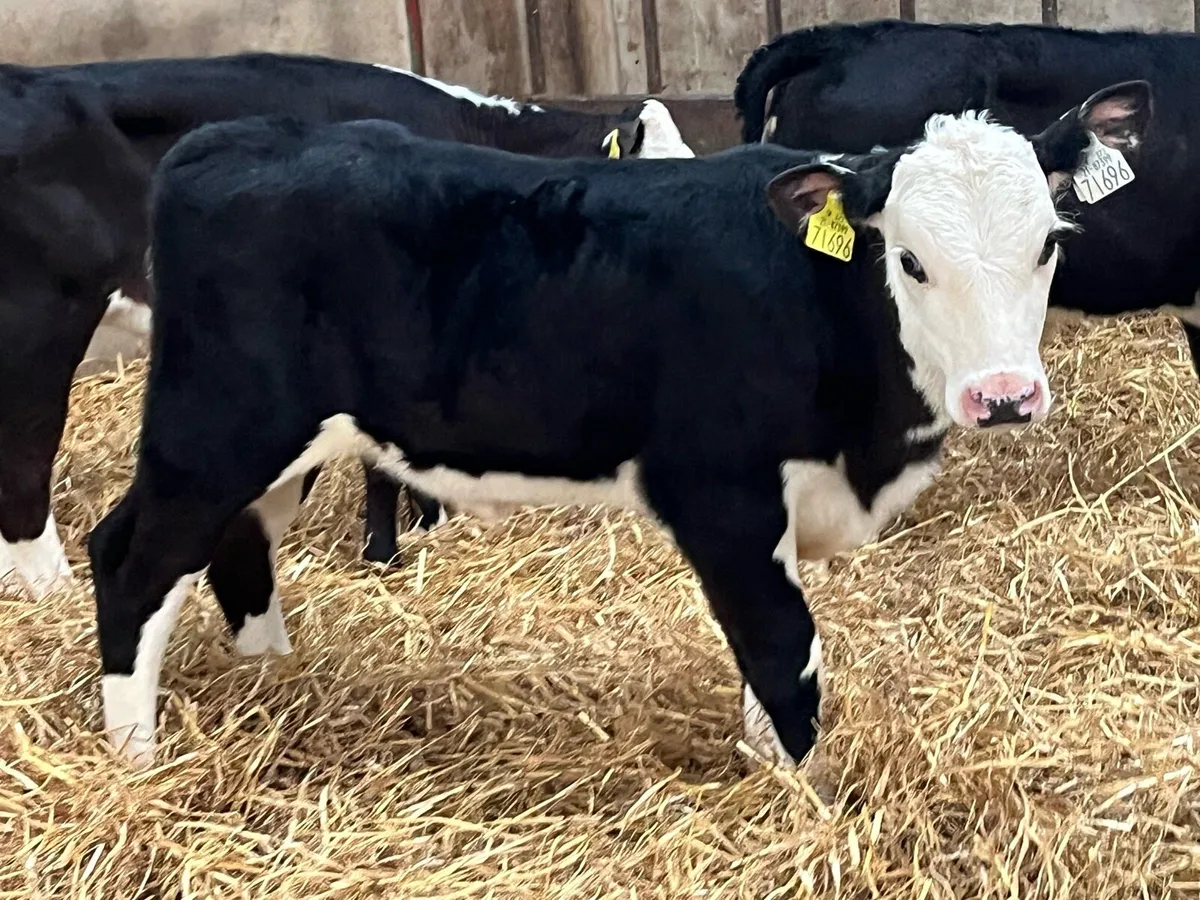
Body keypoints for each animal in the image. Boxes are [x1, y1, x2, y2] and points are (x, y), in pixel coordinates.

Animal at [88, 78, 1149, 768]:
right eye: (912, 260)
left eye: (1049, 244)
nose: (1003, 396)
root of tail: (232, 139)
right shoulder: (718, 492)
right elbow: (784, 653)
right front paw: (803, 804)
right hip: (215, 429)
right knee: (133, 559)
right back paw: (137, 761)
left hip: (274, 448)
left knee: (233, 548)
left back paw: (272, 683)